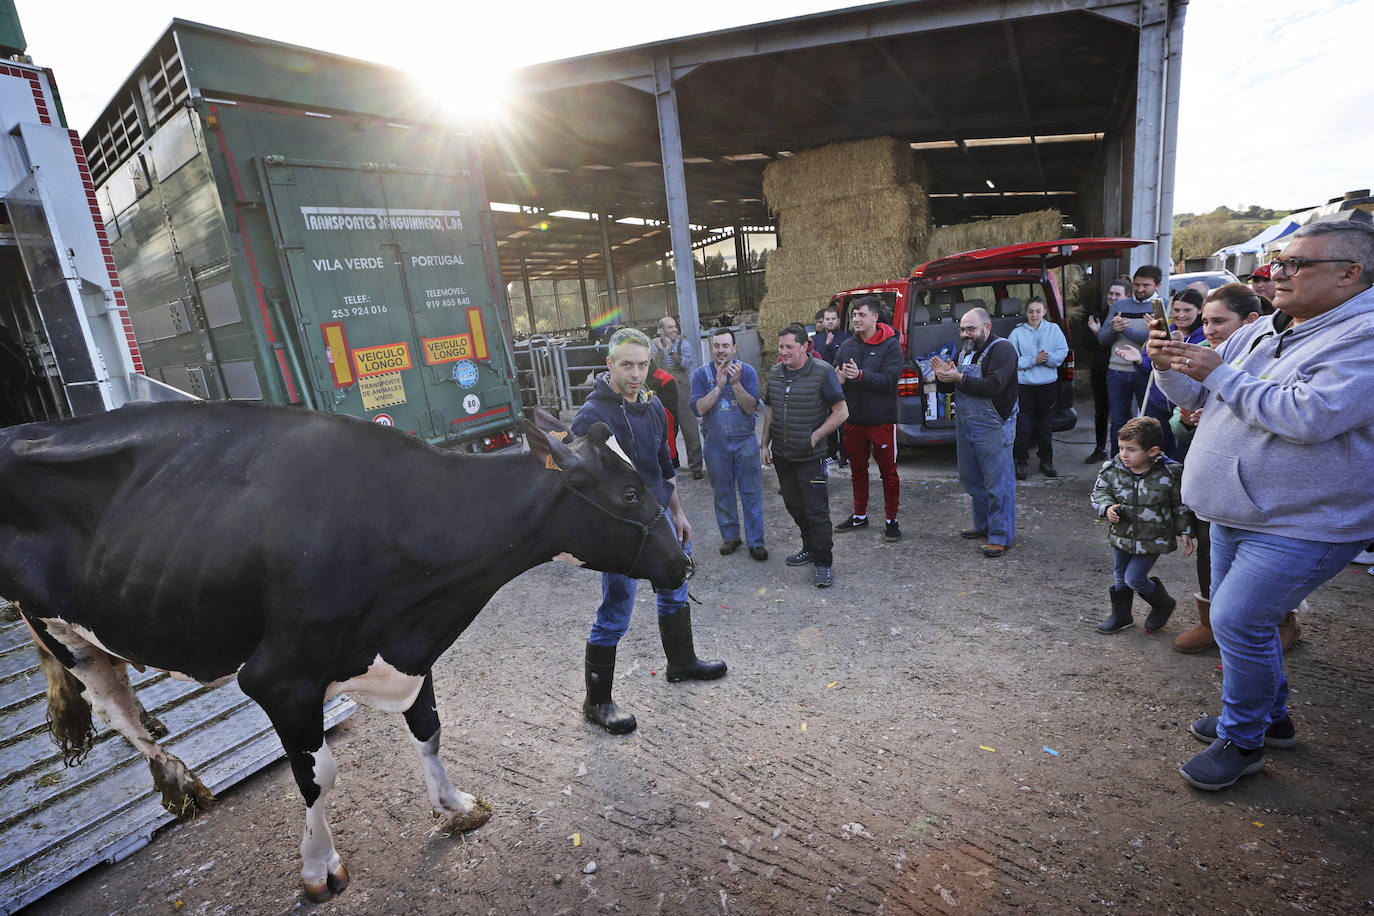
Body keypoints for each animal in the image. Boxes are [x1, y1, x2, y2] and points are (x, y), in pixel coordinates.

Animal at [0, 403, 687, 900]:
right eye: (629, 493)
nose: (683, 562)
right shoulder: (279, 678)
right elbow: (318, 776)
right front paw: (319, 868)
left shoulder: (407, 648)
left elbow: (430, 730)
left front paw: (457, 808)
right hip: (59, 626)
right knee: (111, 703)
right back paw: (176, 777)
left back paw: (175, 779)